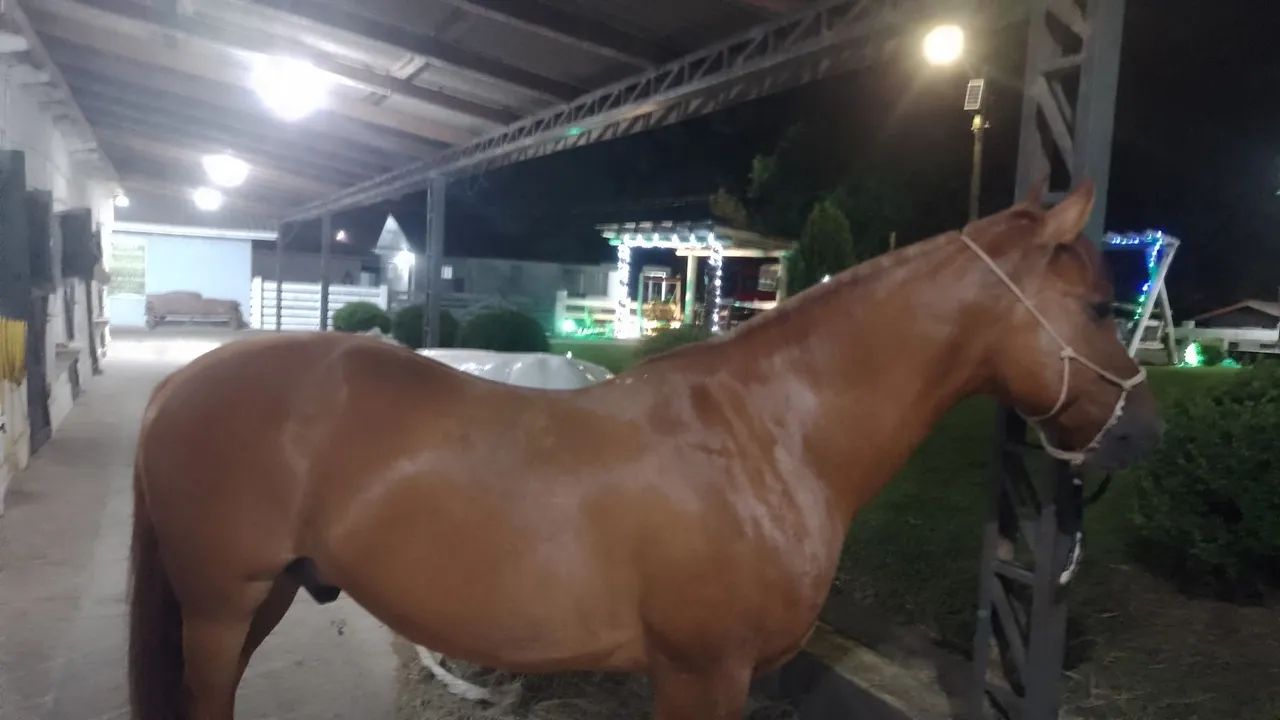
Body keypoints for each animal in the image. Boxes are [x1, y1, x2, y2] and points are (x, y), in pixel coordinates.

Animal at [128, 182, 1160, 720]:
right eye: (1099, 306)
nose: (1142, 432)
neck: (766, 436)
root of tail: (184, 383)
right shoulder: (703, 672)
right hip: (222, 603)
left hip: (262, 595)